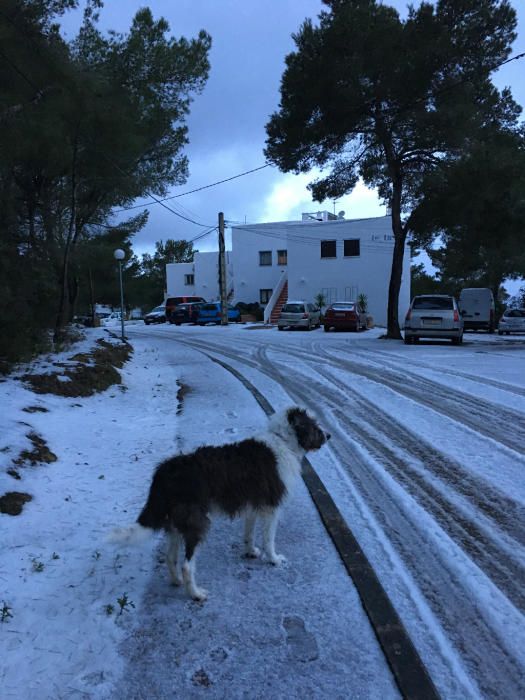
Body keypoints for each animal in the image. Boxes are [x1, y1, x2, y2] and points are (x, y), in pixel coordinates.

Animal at [113, 408, 330, 600]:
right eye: (314, 425)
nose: (329, 435)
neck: (282, 440)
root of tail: (165, 471)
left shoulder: (253, 504)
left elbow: (249, 534)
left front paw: (250, 552)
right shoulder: (272, 508)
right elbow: (269, 540)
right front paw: (274, 560)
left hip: (175, 521)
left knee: (170, 556)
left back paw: (176, 582)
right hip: (197, 522)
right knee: (187, 565)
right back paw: (195, 594)